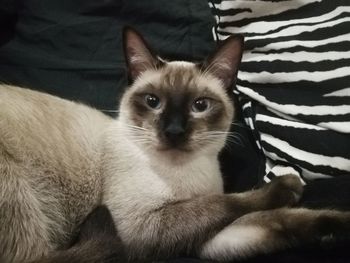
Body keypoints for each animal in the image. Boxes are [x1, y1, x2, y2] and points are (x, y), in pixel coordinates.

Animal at [0, 27, 350, 263]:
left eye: (200, 105)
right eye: (153, 102)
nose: (174, 131)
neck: (188, 174)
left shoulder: (207, 241)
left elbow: (280, 220)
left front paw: (335, 228)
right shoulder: (139, 227)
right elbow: (225, 202)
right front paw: (288, 185)